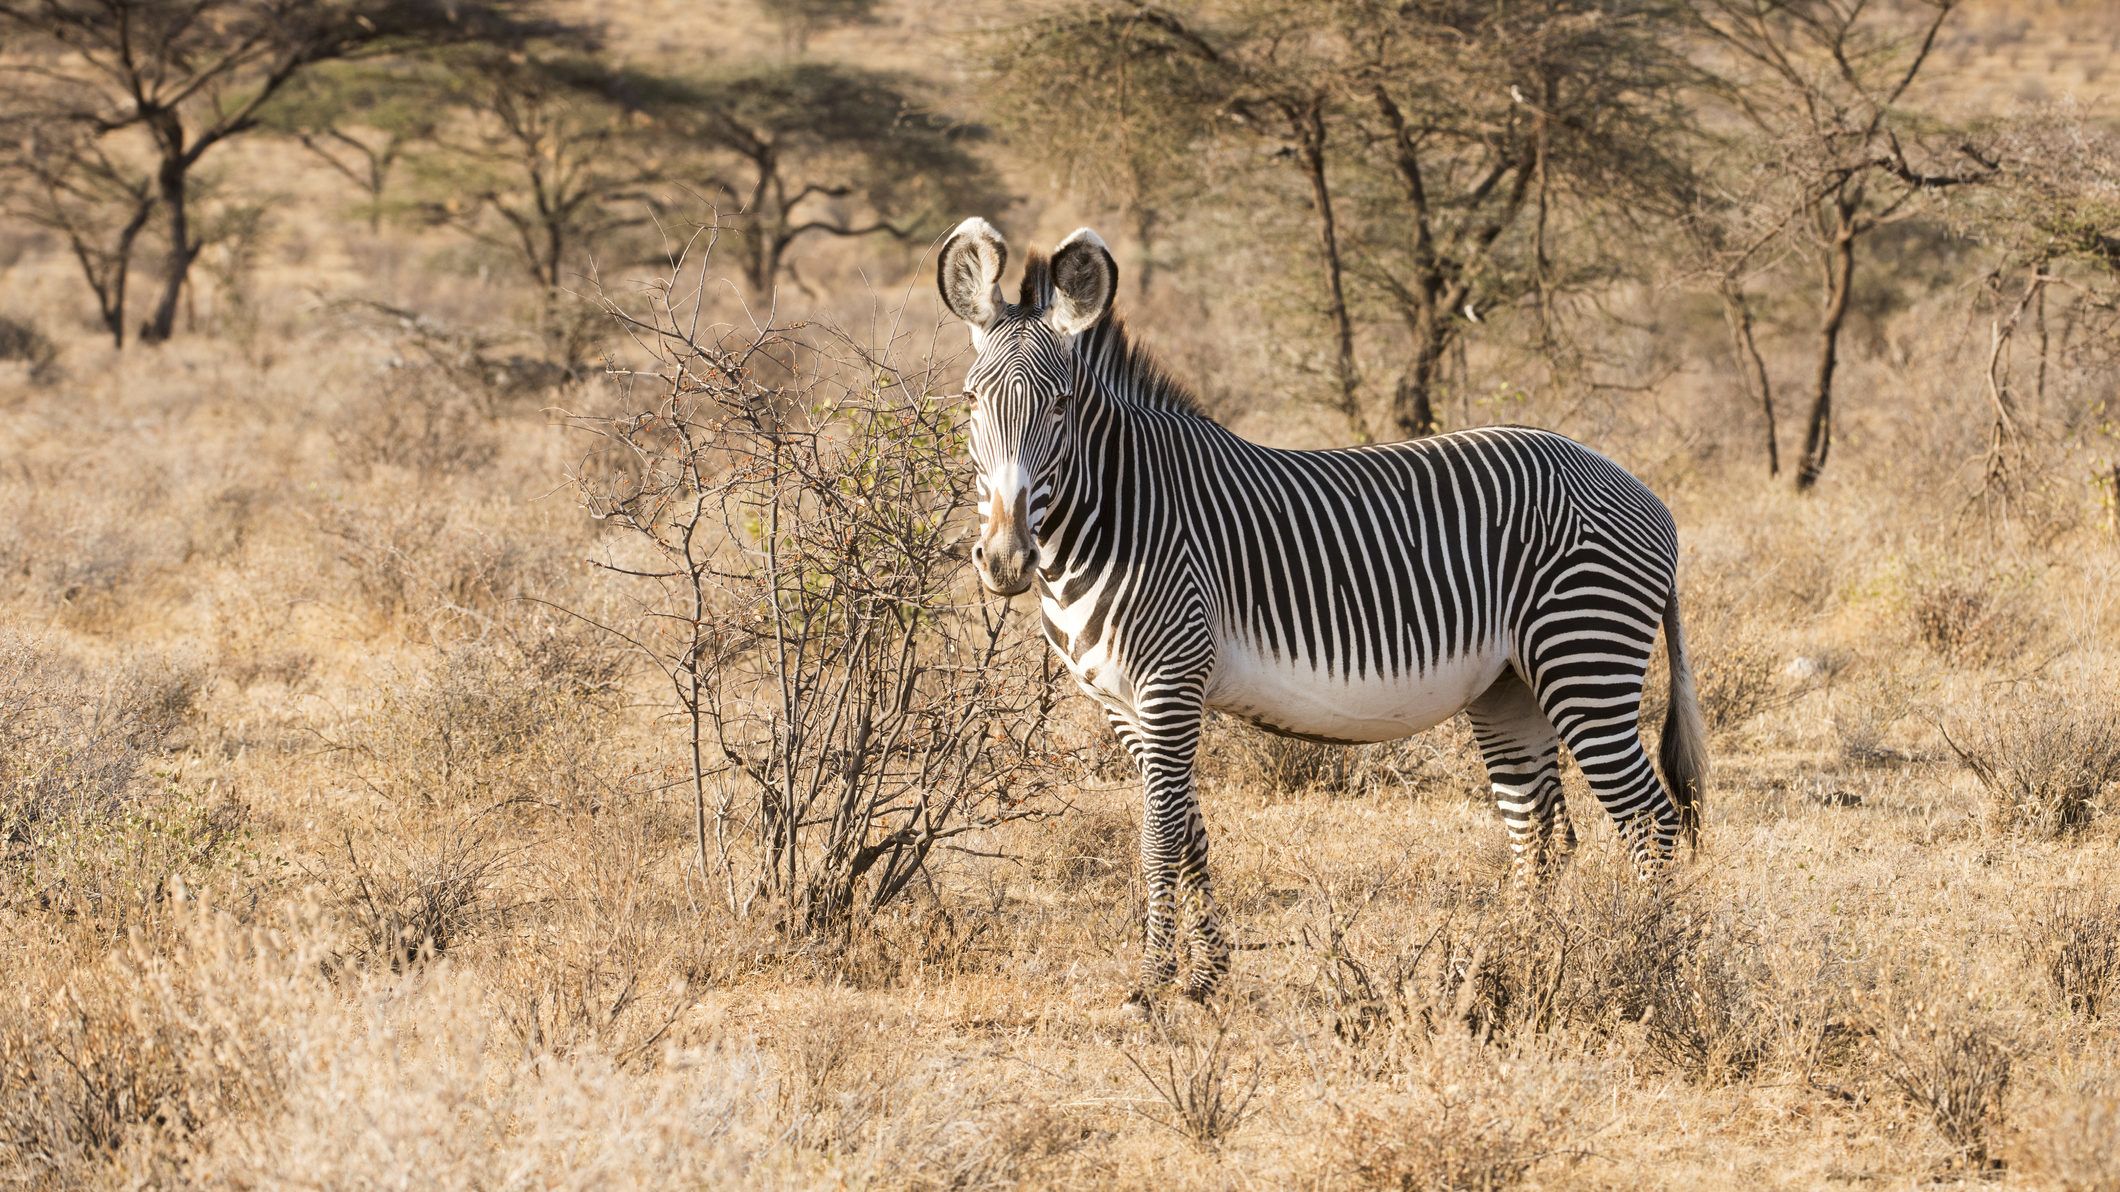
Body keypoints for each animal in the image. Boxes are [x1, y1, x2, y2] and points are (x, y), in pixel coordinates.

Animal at [945, 218, 1704, 996]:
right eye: (970, 402)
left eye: (1060, 406)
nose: (1004, 559)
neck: (1119, 512)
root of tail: (1643, 492)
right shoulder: (1119, 703)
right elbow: (1187, 831)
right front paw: (1207, 975)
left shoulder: (1171, 684)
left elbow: (1158, 838)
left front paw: (1155, 984)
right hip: (1510, 688)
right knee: (1542, 832)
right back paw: (1520, 964)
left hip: (1585, 657)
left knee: (1651, 822)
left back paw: (1654, 965)